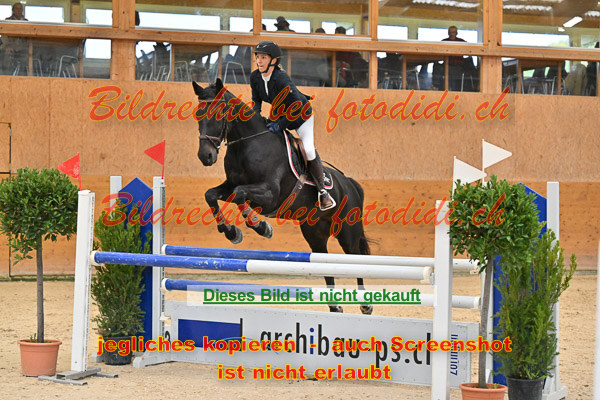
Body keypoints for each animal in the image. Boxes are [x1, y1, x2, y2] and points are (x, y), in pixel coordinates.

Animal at [193, 79, 372, 314]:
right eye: (198, 114)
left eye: (218, 112)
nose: (205, 156)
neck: (246, 143)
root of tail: (350, 183)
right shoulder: (231, 185)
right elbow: (211, 195)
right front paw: (231, 232)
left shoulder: (270, 194)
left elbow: (240, 194)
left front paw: (261, 227)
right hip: (315, 234)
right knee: (324, 260)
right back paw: (335, 307)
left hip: (348, 231)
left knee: (356, 258)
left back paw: (366, 304)